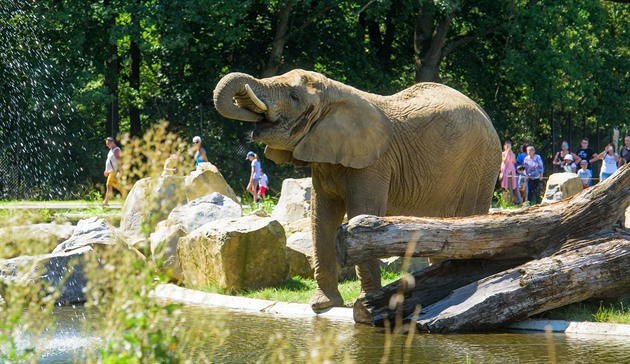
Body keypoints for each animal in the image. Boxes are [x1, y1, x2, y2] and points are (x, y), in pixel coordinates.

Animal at [215, 69, 502, 312]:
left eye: (295, 97)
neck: (335, 94)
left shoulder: (373, 163)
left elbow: (361, 216)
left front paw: (369, 305)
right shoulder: (324, 158)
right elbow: (322, 218)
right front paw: (322, 305)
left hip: (481, 164)